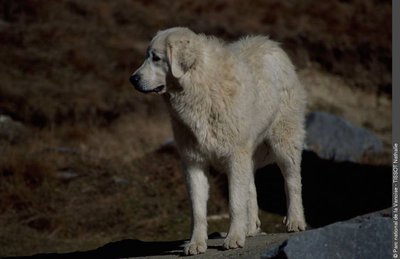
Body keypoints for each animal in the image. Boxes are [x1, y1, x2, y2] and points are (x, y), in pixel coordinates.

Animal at [130, 26, 308, 256]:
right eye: (147, 56)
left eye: (156, 58)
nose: (132, 79)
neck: (200, 88)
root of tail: (270, 43)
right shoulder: (194, 162)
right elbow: (197, 209)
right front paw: (196, 243)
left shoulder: (234, 156)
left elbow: (235, 203)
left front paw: (233, 238)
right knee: (251, 188)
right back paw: (250, 228)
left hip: (283, 141)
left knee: (292, 182)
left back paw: (295, 220)